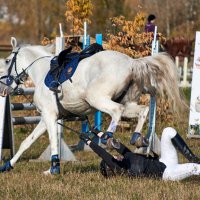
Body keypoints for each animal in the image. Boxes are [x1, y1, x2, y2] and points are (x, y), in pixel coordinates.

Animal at [0, 37, 184, 173]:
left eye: (7, 61)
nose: (3, 87)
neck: (41, 72)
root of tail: (132, 63)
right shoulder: (46, 118)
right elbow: (27, 142)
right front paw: (8, 165)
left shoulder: (50, 114)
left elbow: (53, 140)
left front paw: (54, 168)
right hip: (127, 102)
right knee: (143, 111)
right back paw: (137, 138)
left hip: (96, 98)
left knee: (117, 111)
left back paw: (108, 138)